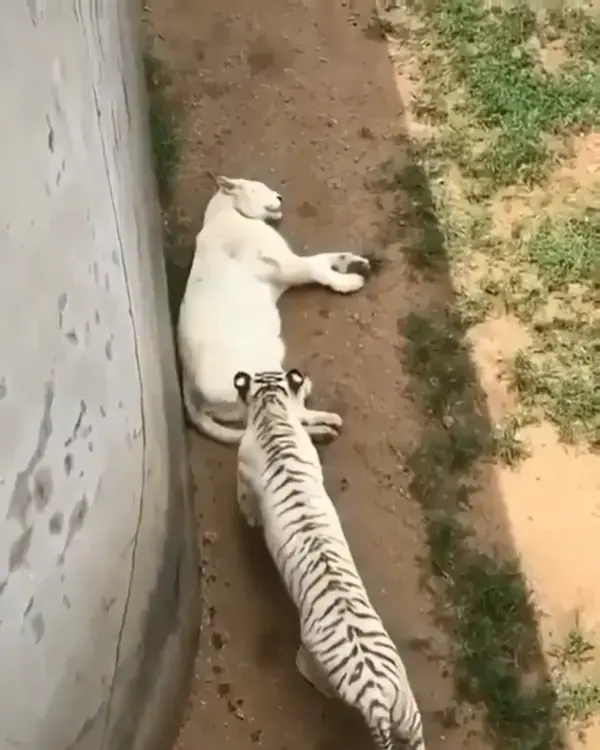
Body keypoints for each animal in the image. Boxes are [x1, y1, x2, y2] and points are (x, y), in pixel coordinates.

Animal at [176, 176, 370, 444]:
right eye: (258, 187)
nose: (280, 197)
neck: (228, 213)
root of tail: (190, 389)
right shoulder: (285, 266)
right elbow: (318, 269)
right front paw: (348, 282)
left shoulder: (289, 265)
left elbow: (323, 259)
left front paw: (352, 261)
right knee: (295, 412)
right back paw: (326, 420)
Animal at [233, 370, 426, 750]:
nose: (306, 377)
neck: (271, 412)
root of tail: (375, 698)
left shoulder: (244, 479)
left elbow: (245, 504)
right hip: (406, 706)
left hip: (315, 657)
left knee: (308, 671)